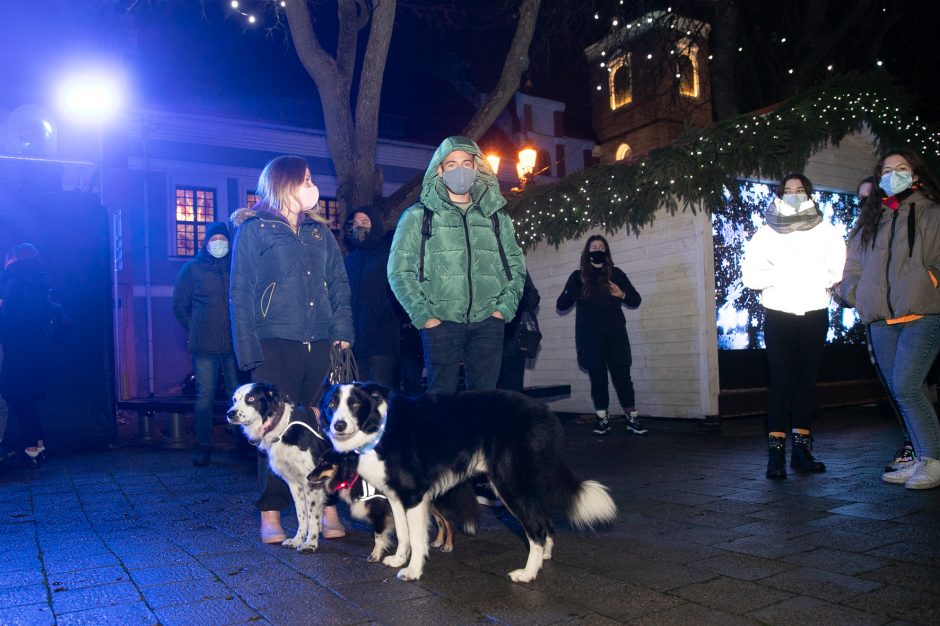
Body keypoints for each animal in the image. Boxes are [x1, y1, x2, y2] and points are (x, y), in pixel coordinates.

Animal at [320, 380, 620, 580]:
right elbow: (403, 533)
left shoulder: (414, 495)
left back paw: (528, 573)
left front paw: (413, 570)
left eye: (355, 404)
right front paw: (397, 560)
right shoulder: (396, 496)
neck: (379, 427)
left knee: (535, 527)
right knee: (544, 521)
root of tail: (545, 413)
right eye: (332, 404)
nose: (338, 425)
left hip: (509, 482)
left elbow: (416, 537)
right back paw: (545, 555)